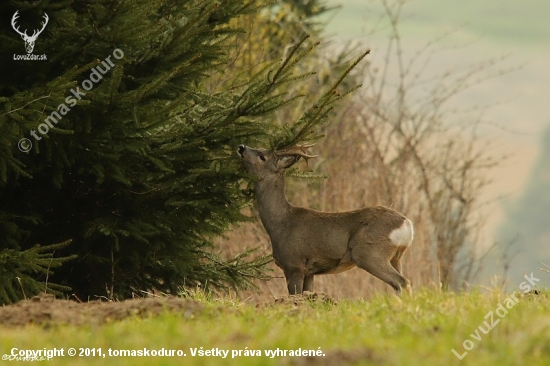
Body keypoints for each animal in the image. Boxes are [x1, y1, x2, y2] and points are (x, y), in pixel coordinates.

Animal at [237, 143, 414, 294]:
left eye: (262, 156)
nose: (241, 147)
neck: (280, 223)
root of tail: (407, 224)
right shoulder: (309, 271)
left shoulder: (294, 264)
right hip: (396, 257)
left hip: (369, 252)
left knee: (402, 282)